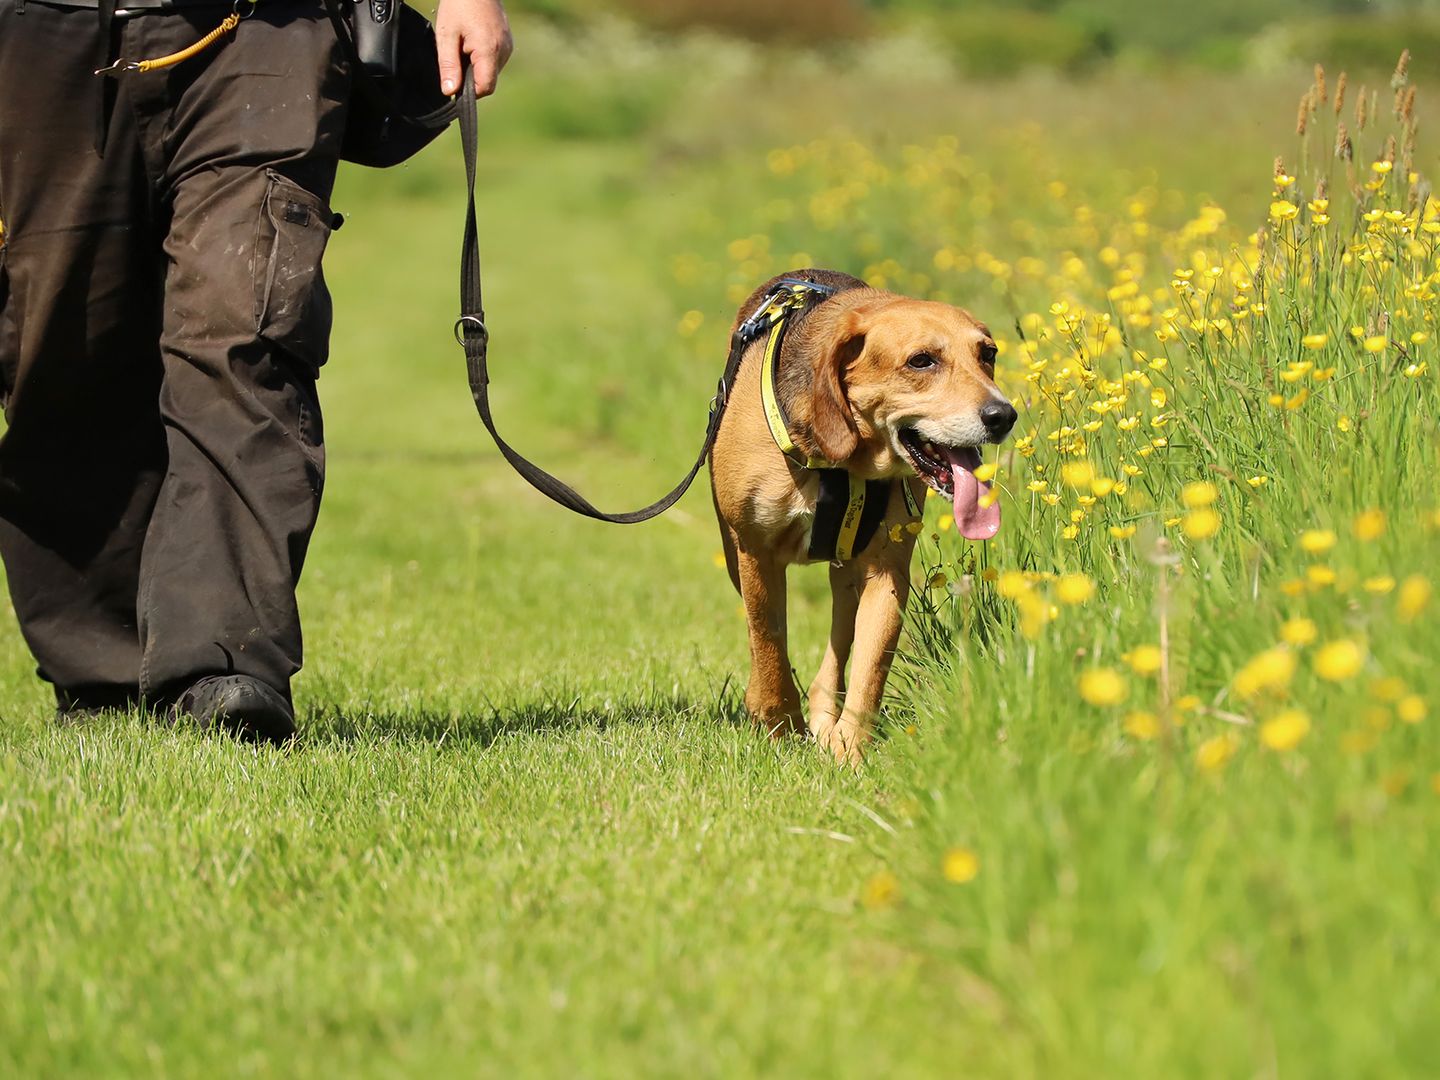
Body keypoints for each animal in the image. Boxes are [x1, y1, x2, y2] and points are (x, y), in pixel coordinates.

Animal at [708, 269, 1013, 760]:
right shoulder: (756, 553)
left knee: (836, 648)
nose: (1003, 414)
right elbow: (769, 645)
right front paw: (779, 726)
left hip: (847, 573)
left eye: (988, 354)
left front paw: (850, 750)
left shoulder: (887, 570)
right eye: (921, 361)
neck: (841, 463)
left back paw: (824, 721)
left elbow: (869, 667)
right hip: (738, 557)